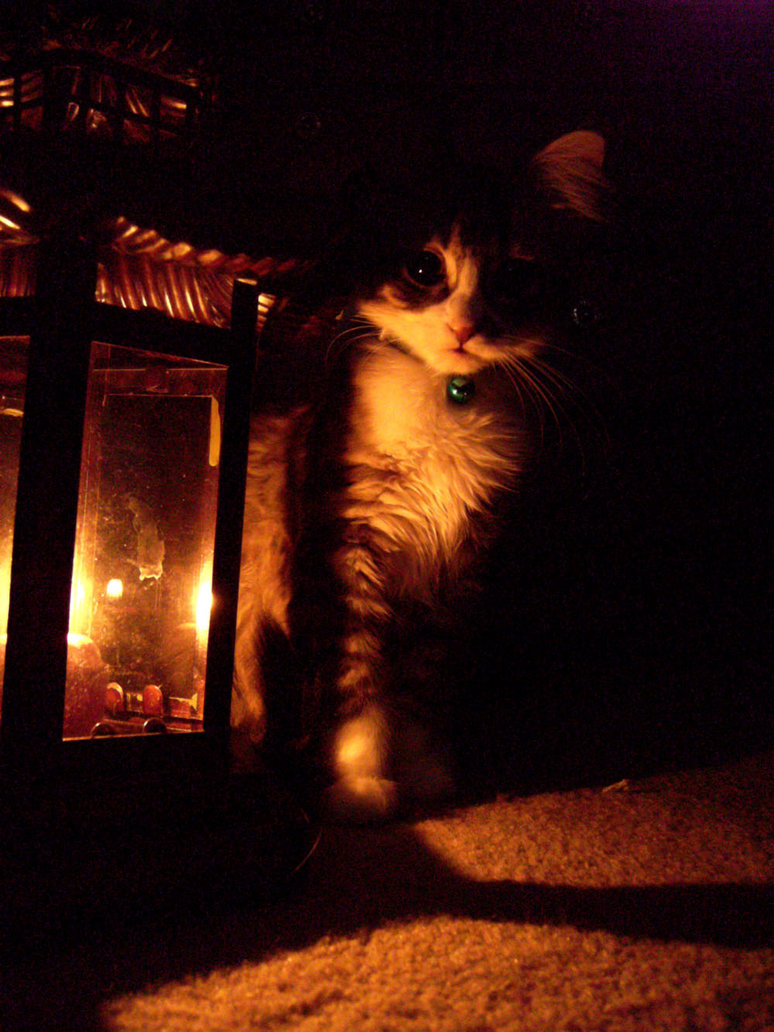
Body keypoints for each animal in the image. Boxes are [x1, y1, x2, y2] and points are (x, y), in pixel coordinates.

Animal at [232, 130, 608, 822]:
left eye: (515, 278)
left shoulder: (456, 572)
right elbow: (356, 680)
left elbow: (421, 686)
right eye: (426, 269)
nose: (465, 326)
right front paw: (359, 783)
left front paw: (422, 772)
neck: (448, 400)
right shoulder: (344, 549)